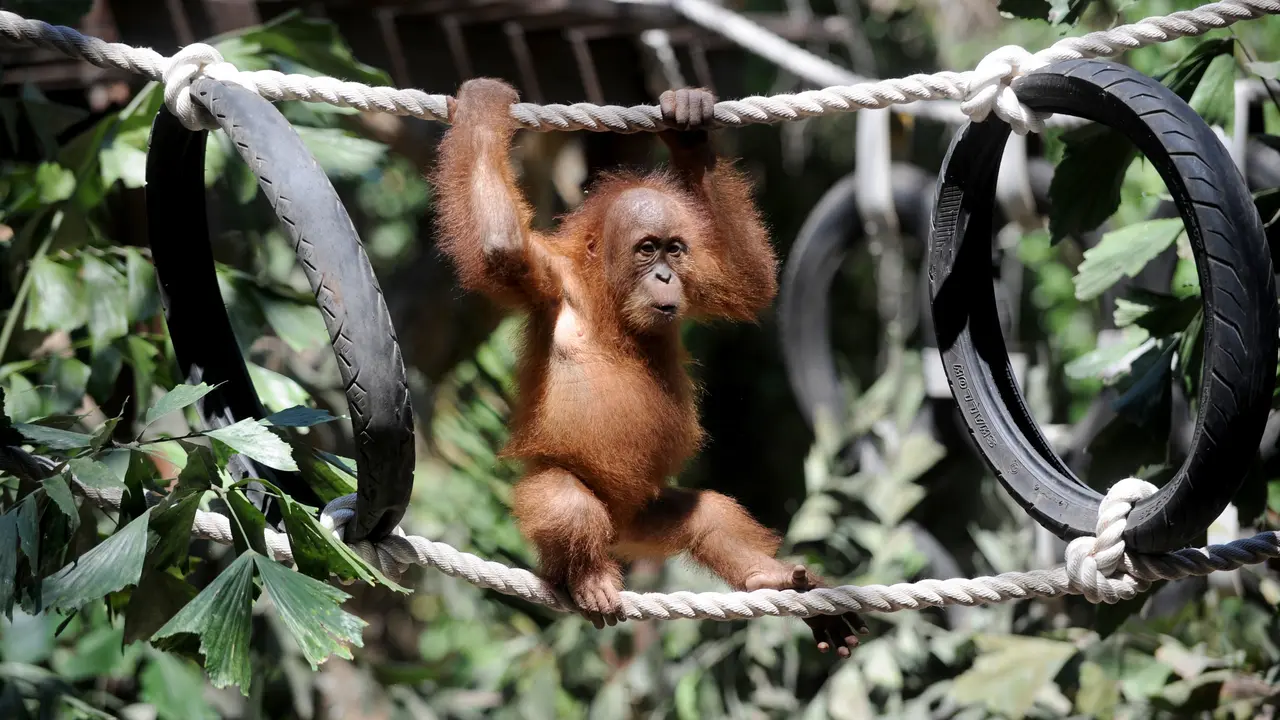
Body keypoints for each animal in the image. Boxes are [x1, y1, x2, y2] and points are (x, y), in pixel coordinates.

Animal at [433, 77, 866, 657]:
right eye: (645, 249)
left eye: (674, 249)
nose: (664, 276)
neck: (609, 303)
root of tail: (618, 532)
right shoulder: (549, 278)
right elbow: (501, 250)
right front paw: (483, 102)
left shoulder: (699, 278)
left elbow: (750, 283)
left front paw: (688, 125)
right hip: (578, 505)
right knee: (566, 503)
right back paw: (588, 579)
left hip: (645, 518)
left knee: (707, 515)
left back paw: (770, 579)